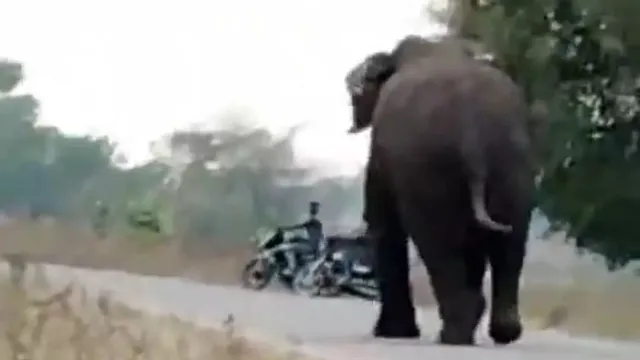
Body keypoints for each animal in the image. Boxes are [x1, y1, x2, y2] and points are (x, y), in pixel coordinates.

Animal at [342, 35, 536, 346]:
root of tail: (471, 130)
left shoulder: (382, 151)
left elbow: (384, 225)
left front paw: (392, 333)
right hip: (514, 163)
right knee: (510, 240)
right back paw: (501, 332)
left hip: (428, 169)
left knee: (436, 243)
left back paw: (454, 334)